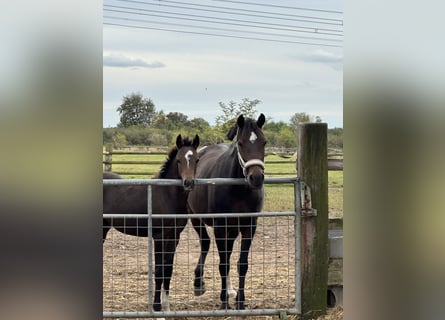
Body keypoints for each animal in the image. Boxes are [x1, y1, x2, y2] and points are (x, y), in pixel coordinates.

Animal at [102, 134, 199, 312]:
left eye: (196, 159)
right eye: (179, 160)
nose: (188, 183)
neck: (167, 196)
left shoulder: (174, 236)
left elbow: (168, 269)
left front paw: (166, 306)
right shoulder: (159, 236)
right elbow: (159, 271)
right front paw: (156, 306)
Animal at [186, 113, 266, 310]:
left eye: (264, 142)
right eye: (240, 143)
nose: (256, 178)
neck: (238, 190)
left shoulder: (248, 227)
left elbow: (241, 264)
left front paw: (240, 301)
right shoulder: (220, 227)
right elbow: (223, 264)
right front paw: (224, 301)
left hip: (232, 230)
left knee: (227, 255)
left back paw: (230, 290)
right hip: (196, 218)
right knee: (206, 244)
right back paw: (199, 283)